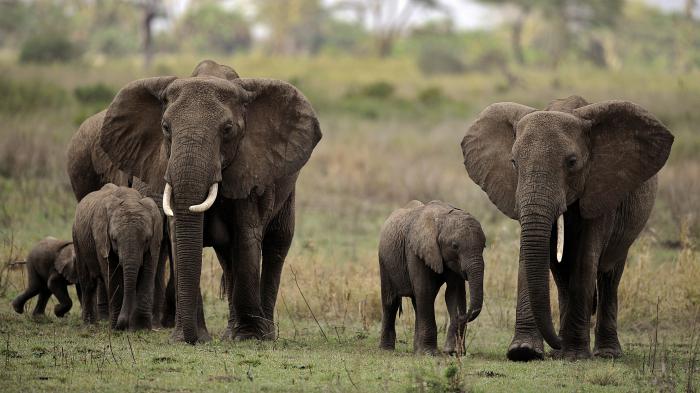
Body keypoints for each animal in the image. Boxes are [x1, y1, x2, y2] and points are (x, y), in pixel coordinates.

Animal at [73, 182, 162, 330]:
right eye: (114, 239)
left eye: (146, 240)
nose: (124, 324)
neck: (130, 199)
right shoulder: (102, 238)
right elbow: (113, 276)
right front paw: (116, 328)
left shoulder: (155, 241)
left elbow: (148, 273)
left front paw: (142, 328)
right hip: (77, 238)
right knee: (88, 282)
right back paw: (89, 325)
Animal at [378, 201, 486, 354]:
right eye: (455, 246)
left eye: (484, 246)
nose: (461, 316)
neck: (442, 218)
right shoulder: (415, 250)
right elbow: (425, 290)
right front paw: (430, 353)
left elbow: (454, 293)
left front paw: (452, 351)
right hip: (385, 261)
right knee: (390, 302)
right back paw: (387, 350)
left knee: (417, 303)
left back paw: (416, 350)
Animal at [460, 96, 672, 360]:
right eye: (514, 163)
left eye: (572, 163)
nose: (558, 344)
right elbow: (528, 255)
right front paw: (524, 352)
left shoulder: (600, 188)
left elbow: (585, 260)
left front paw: (574, 355)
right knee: (562, 277)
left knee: (610, 275)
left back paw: (605, 353)